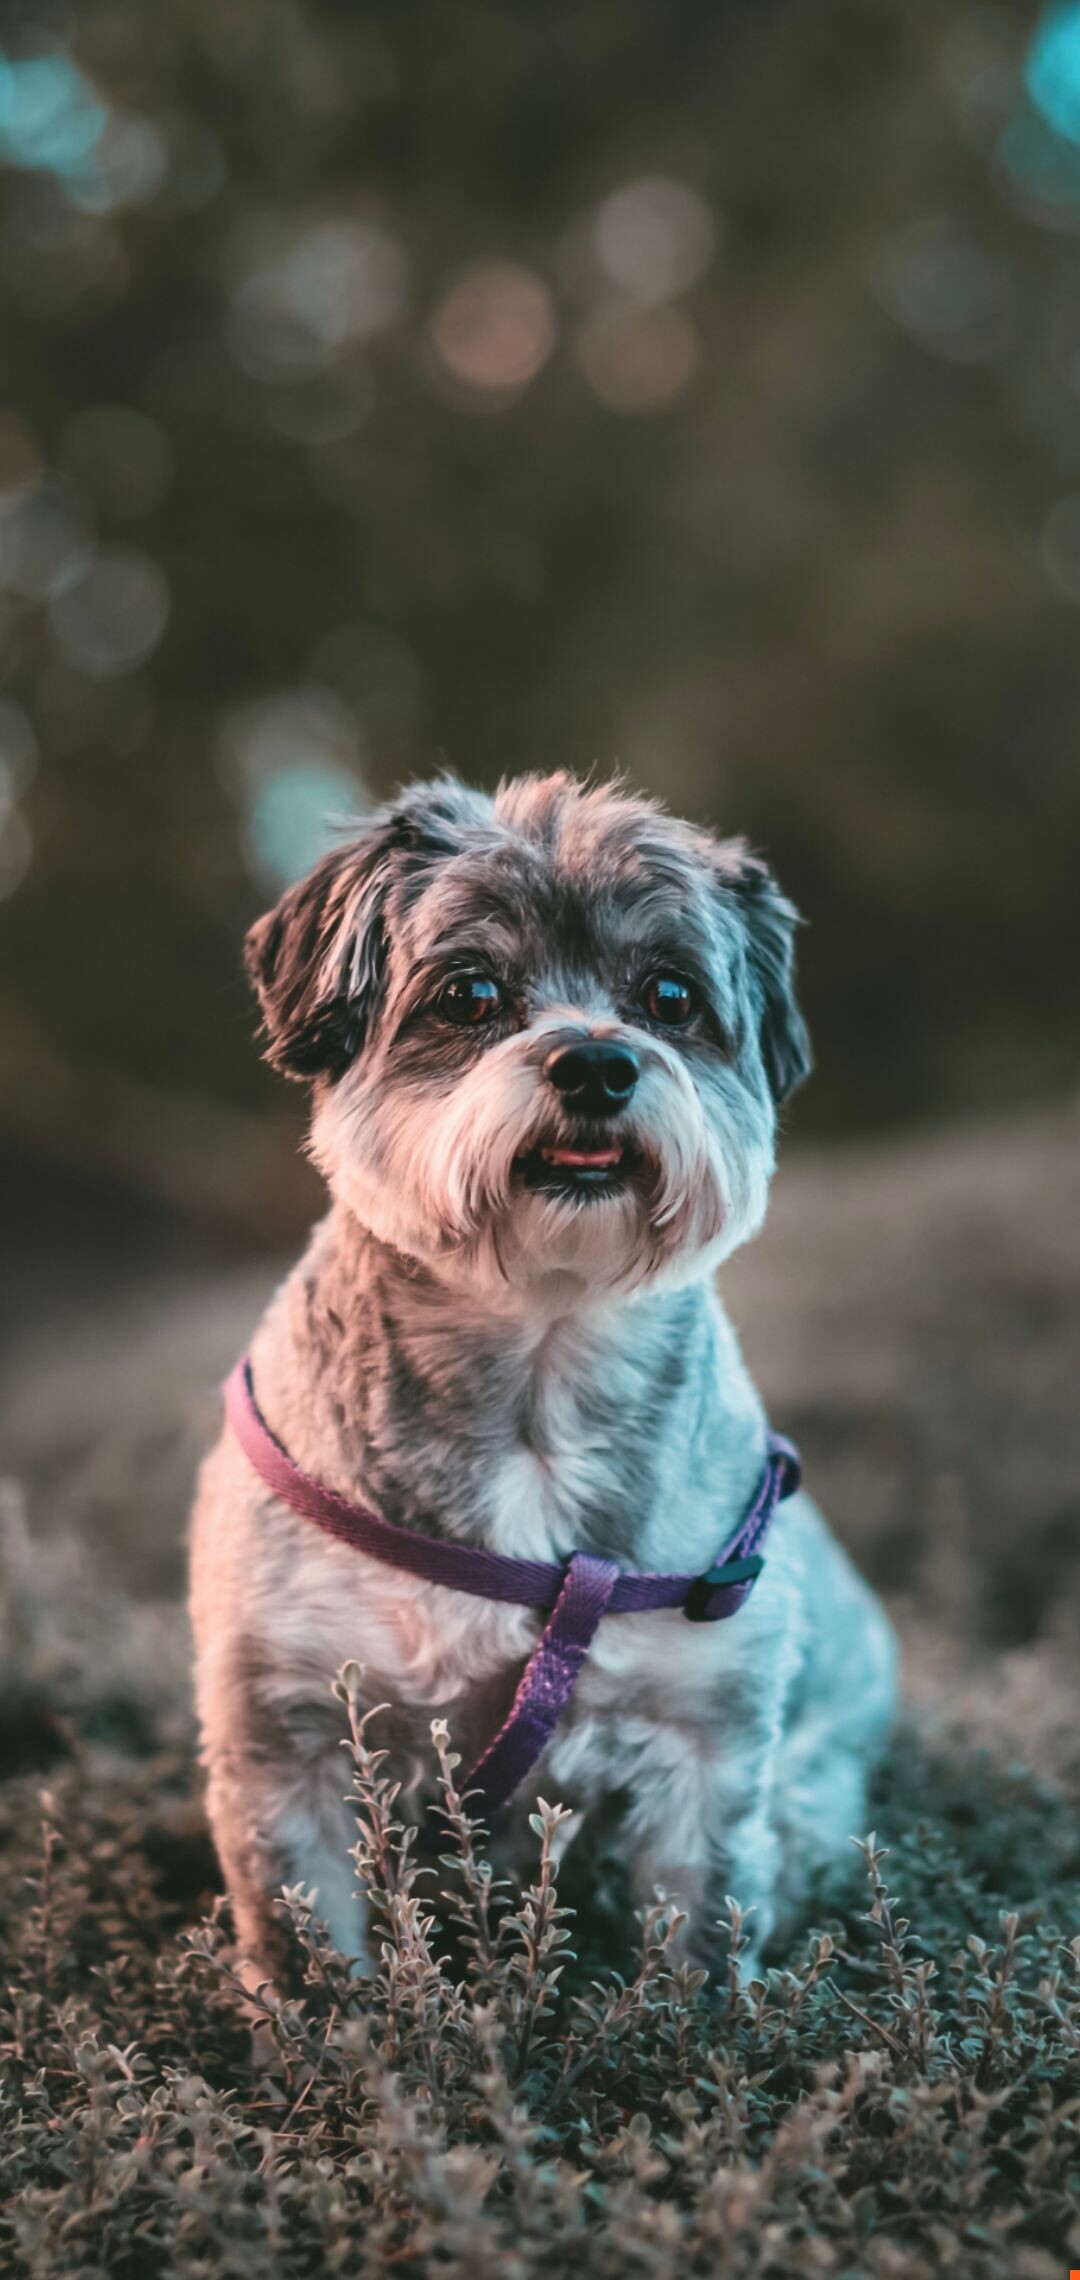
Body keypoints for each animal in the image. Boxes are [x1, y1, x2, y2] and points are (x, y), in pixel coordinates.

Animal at [190, 766, 897, 1979]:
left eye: (669, 996)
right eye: (470, 993)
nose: (598, 1061)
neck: (540, 1362)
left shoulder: (704, 1741)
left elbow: (697, 1942)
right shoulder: (289, 1736)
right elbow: (310, 1949)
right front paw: (331, 2030)